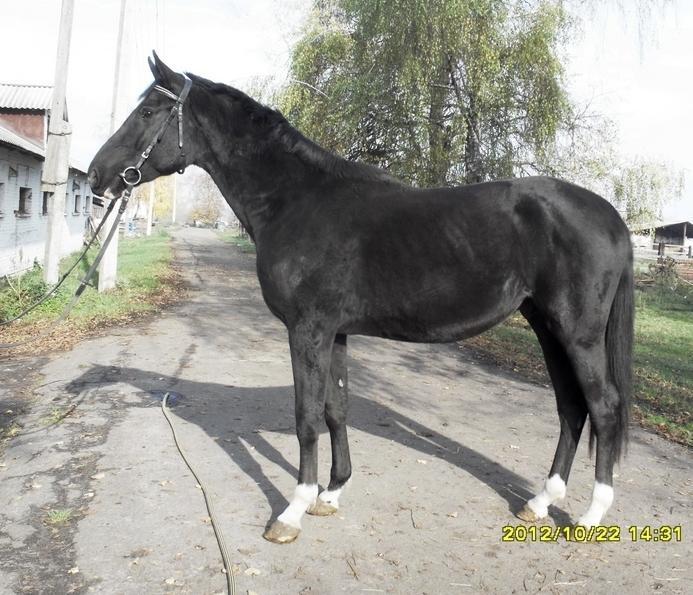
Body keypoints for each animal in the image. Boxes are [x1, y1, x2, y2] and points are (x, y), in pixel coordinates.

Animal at [88, 53, 634, 544]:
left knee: (603, 406)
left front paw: (293, 511)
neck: (296, 200)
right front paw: (331, 494)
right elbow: (336, 408)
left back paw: (591, 516)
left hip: (577, 333)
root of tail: (611, 216)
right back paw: (540, 503)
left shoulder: (307, 330)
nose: (96, 176)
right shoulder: (336, 333)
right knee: (571, 407)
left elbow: (306, 416)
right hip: (547, 326)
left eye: (148, 112)